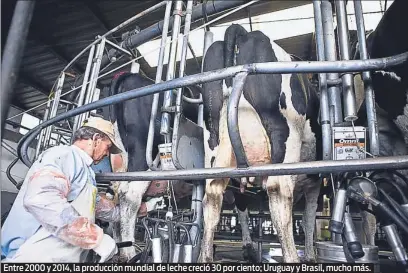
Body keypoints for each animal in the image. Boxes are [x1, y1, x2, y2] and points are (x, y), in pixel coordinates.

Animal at [199, 24, 324, 262]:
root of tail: (242, 32)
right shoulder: (315, 180)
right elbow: (309, 218)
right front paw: (311, 255)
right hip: (284, 135)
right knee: (278, 194)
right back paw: (291, 258)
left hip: (215, 144)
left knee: (213, 196)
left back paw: (208, 258)